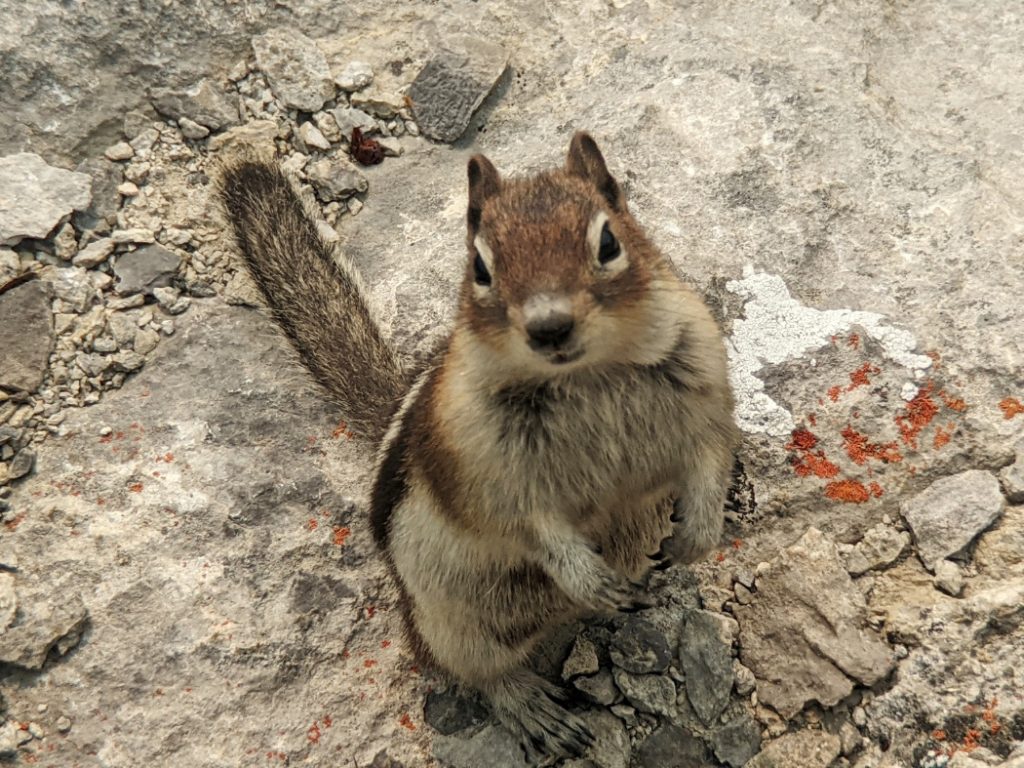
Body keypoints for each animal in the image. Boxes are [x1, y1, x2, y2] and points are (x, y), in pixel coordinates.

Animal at [218, 132, 738, 761]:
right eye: (481, 268)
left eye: (609, 241)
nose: (549, 326)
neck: (588, 375)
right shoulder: (484, 474)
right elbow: (527, 526)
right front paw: (588, 577)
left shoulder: (705, 397)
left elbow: (711, 462)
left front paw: (696, 538)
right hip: (450, 624)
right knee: (477, 671)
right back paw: (533, 705)